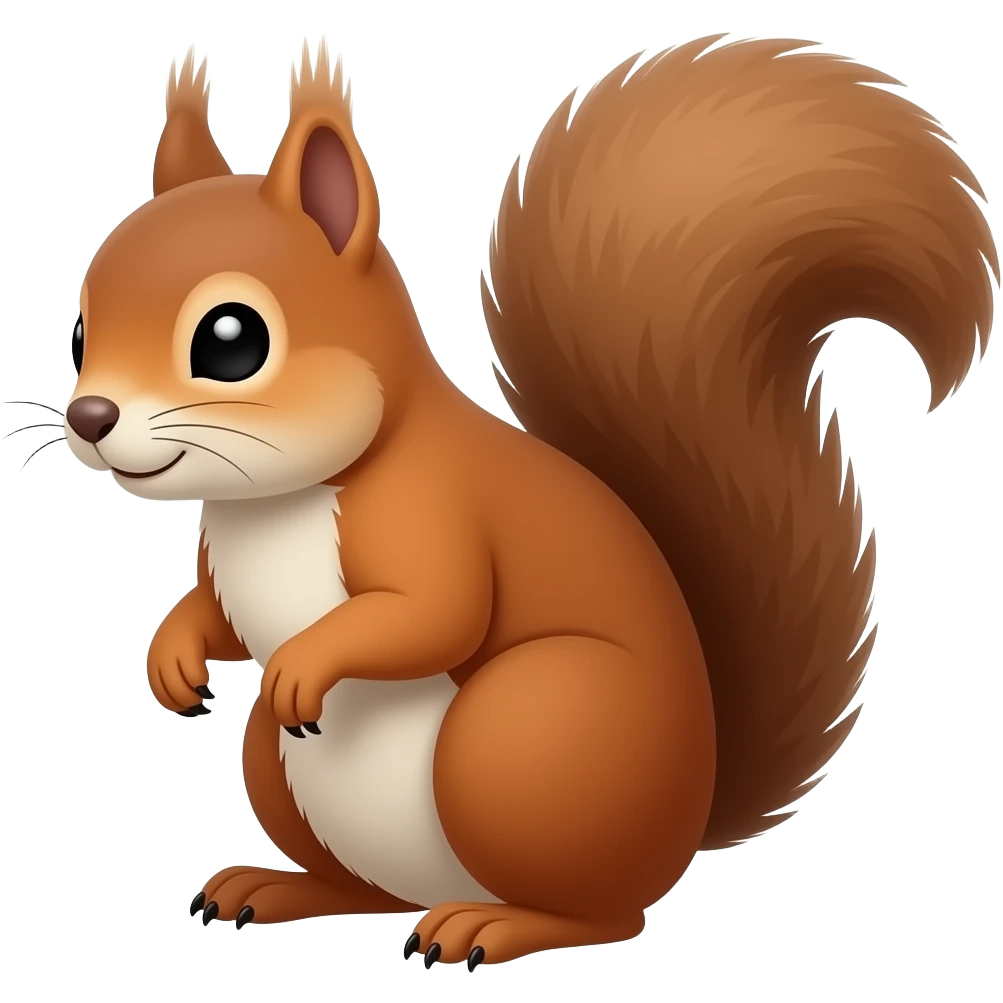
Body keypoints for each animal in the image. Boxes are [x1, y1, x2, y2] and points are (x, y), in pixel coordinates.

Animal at [55, 31, 996, 970]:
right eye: (78, 330)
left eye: (232, 340)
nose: (90, 417)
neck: (273, 503)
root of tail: (685, 820)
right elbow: (215, 614)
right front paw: (173, 656)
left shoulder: (429, 510)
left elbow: (436, 610)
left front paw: (300, 663)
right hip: (286, 771)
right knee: (367, 890)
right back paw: (282, 887)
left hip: (524, 733)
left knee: (606, 912)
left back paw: (494, 926)